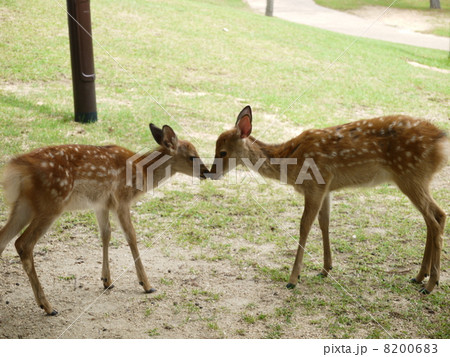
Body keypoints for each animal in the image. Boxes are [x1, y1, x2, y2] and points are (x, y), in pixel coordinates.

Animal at [0, 124, 209, 312]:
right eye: (192, 156)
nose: (207, 172)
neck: (141, 172)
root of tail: (17, 168)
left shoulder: (101, 204)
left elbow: (106, 234)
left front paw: (107, 281)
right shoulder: (121, 199)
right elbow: (131, 236)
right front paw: (146, 285)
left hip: (23, 205)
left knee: (4, 239)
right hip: (52, 202)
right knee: (23, 243)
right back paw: (48, 306)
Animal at [212, 105, 450, 294]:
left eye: (222, 152)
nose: (210, 173)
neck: (290, 163)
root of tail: (441, 142)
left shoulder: (315, 185)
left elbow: (304, 226)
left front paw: (293, 279)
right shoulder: (326, 188)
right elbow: (324, 223)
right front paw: (326, 269)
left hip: (410, 175)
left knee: (437, 216)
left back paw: (430, 284)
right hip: (417, 178)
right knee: (432, 218)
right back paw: (419, 276)